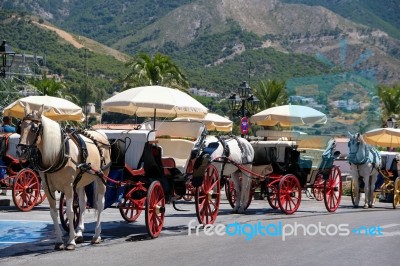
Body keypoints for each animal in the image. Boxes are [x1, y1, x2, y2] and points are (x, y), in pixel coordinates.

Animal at [17, 105, 111, 249]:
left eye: (34, 128)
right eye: (20, 126)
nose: (20, 151)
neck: (56, 154)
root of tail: (101, 135)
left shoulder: (68, 187)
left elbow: (71, 212)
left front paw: (71, 241)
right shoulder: (48, 187)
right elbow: (54, 213)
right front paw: (60, 241)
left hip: (102, 177)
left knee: (100, 204)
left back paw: (96, 236)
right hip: (81, 181)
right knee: (82, 204)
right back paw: (79, 233)